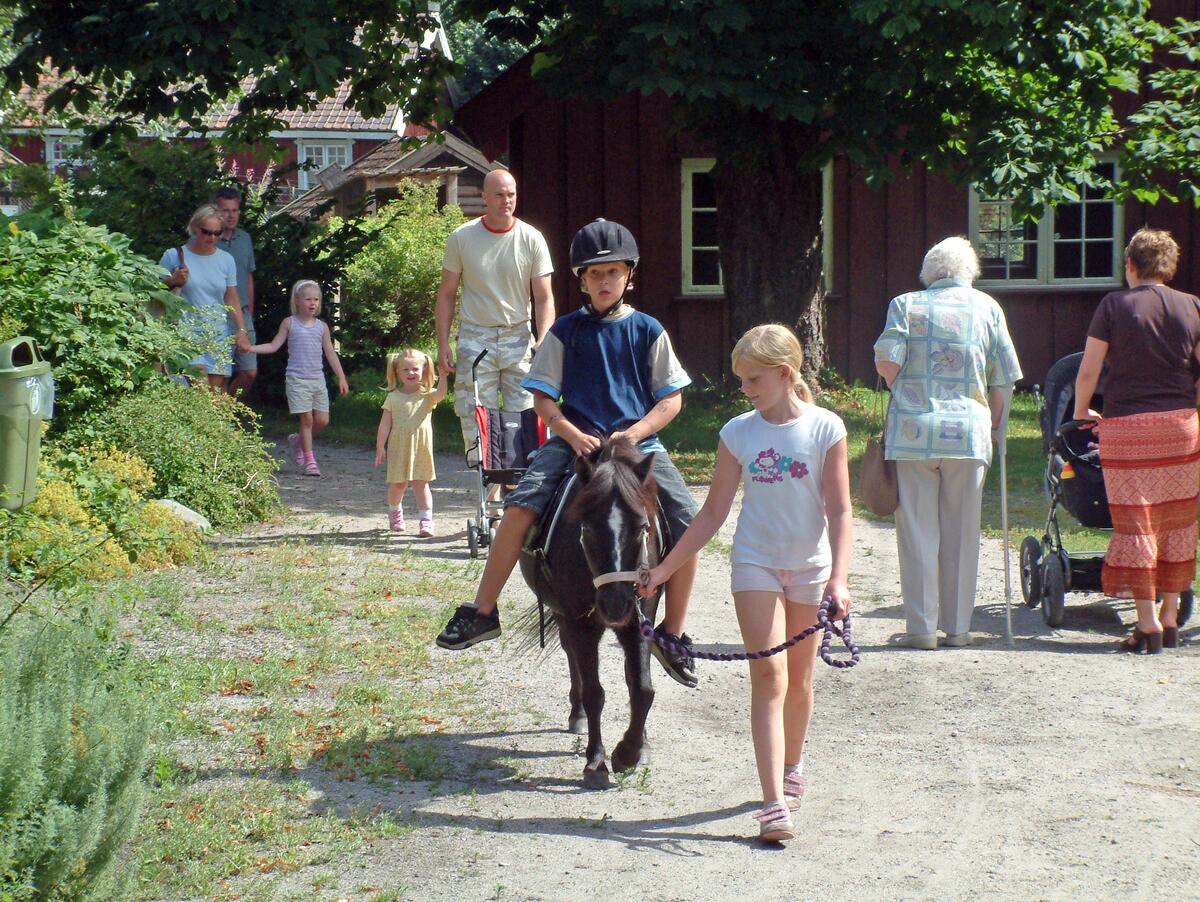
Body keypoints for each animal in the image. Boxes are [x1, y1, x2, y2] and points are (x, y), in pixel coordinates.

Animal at [518, 439, 667, 786]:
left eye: (642, 527)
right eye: (585, 528)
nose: (615, 604)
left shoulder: (639, 620)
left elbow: (642, 688)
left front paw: (630, 751)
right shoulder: (580, 623)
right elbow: (594, 693)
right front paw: (597, 761)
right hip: (565, 616)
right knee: (572, 657)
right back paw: (578, 716)